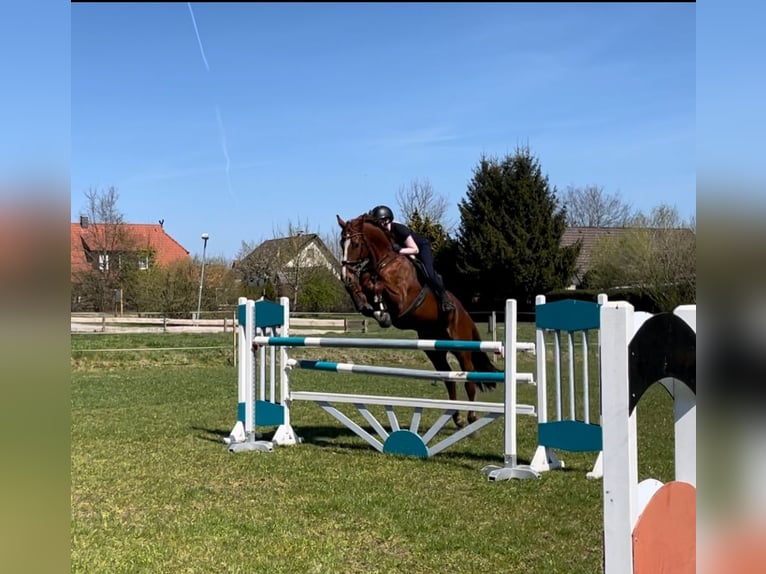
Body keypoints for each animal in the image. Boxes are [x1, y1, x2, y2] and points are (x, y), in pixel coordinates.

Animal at [340, 214, 500, 430]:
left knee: (469, 377)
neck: (383, 261)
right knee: (449, 379)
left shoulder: (401, 299)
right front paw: (371, 306)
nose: (345, 276)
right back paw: (457, 417)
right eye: (342, 243)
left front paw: (381, 309)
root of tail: (465, 314)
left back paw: (472, 417)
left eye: (355, 243)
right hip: (434, 350)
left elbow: (377, 284)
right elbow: (366, 286)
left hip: (461, 346)